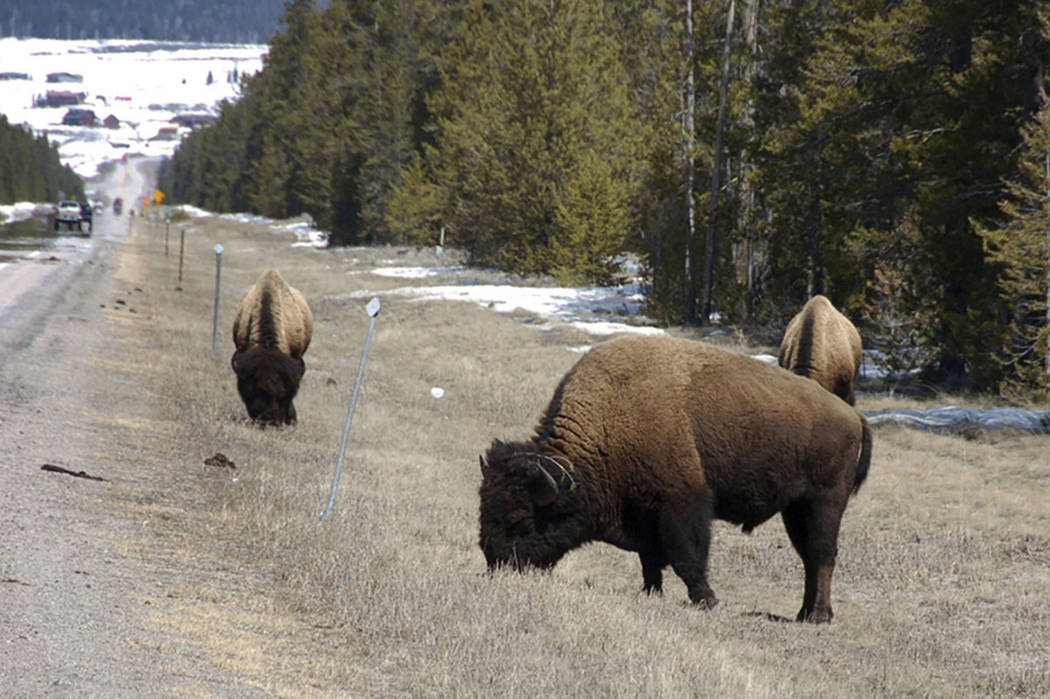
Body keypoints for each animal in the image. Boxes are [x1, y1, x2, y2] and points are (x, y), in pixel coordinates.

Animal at [478, 333, 869, 621]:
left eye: (522, 520)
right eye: (485, 511)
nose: (496, 563)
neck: (609, 424)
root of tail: (852, 416)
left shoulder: (682, 503)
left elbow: (685, 555)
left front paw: (707, 600)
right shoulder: (643, 516)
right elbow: (650, 561)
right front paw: (651, 593)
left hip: (825, 501)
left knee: (822, 554)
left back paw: (818, 616)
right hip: (795, 509)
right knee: (808, 557)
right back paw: (804, 613)